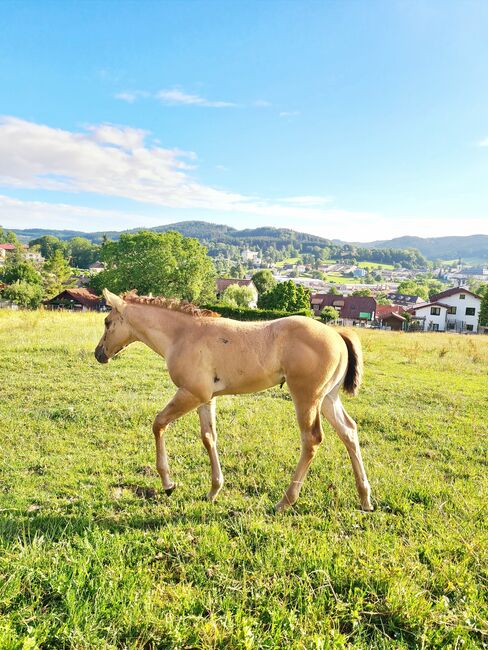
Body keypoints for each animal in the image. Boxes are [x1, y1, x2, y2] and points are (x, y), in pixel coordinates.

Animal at [93, 290, 372, 512]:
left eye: (107, 322)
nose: (98, 354)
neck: (182, 334)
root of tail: (337, 334)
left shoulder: (190, 393)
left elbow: (159, 424)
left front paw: (168, 483)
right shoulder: (205, 398)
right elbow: (209, 437)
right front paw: (214, 490)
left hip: (307, 397)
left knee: (312, 440)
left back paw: (285, 501)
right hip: (328, 399)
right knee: (349, 431)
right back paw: (365, 498)